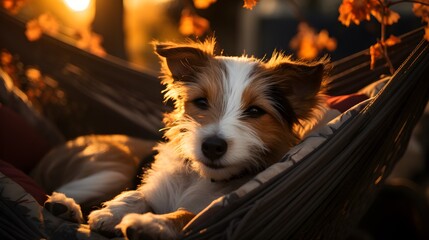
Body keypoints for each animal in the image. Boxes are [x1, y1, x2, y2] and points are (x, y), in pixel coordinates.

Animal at [56, 38, 328, 239]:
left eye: (254, 111)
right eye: (201, 102)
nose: (212, 146)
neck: (202, 177)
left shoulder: (215, 210)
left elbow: (187, 215)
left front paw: (152, 224)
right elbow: (139, 194)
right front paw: (115, 212)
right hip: (110, 171)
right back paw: (65, 205)